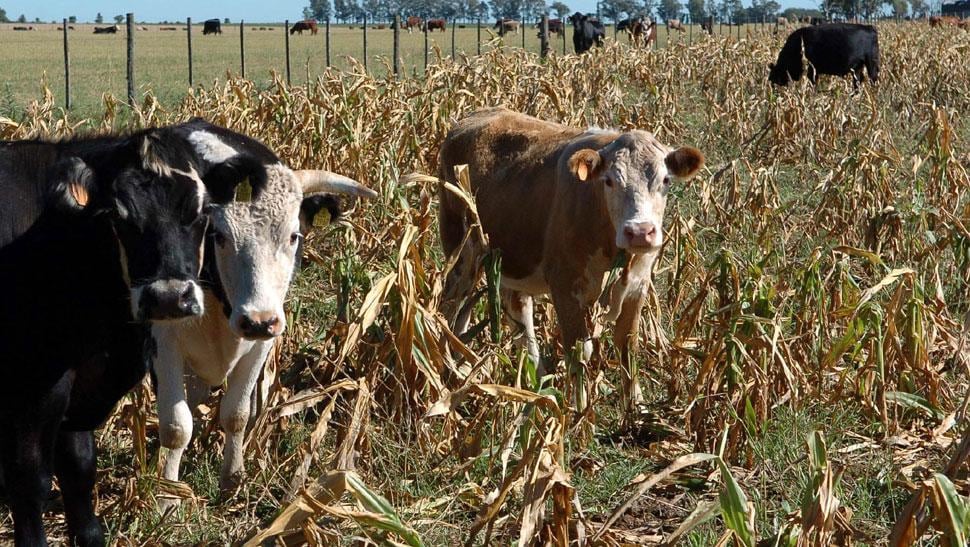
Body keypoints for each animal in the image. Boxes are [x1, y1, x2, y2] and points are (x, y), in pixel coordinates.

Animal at [0, 121, 278, 547]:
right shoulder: (33, 386)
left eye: (201, 212)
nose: (168, 297)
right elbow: (30, 479)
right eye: (118, 214)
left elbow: (79, 467)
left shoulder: (81, 384)